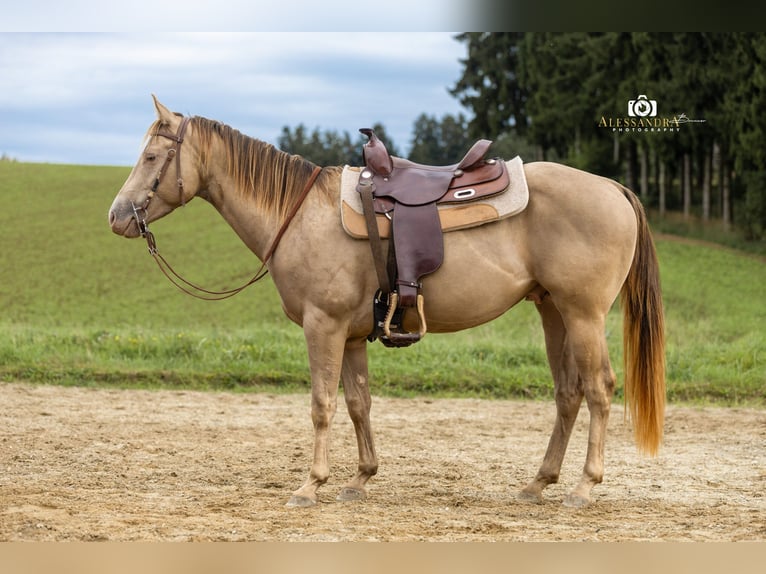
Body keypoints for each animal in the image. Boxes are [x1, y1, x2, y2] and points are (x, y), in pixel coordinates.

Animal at [109, 96, 665, 508]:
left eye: (152, 157)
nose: (117, 216)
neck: (300, 215)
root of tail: (612, 187)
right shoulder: (353, 335)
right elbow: (358, 403)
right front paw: (360, 478)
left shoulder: (323, 326)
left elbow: (322, 404)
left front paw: (310, 484)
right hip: (553, 311)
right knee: (568, 393)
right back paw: (538, 482)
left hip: (584, 314)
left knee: (598, 388)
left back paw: (584, 486)